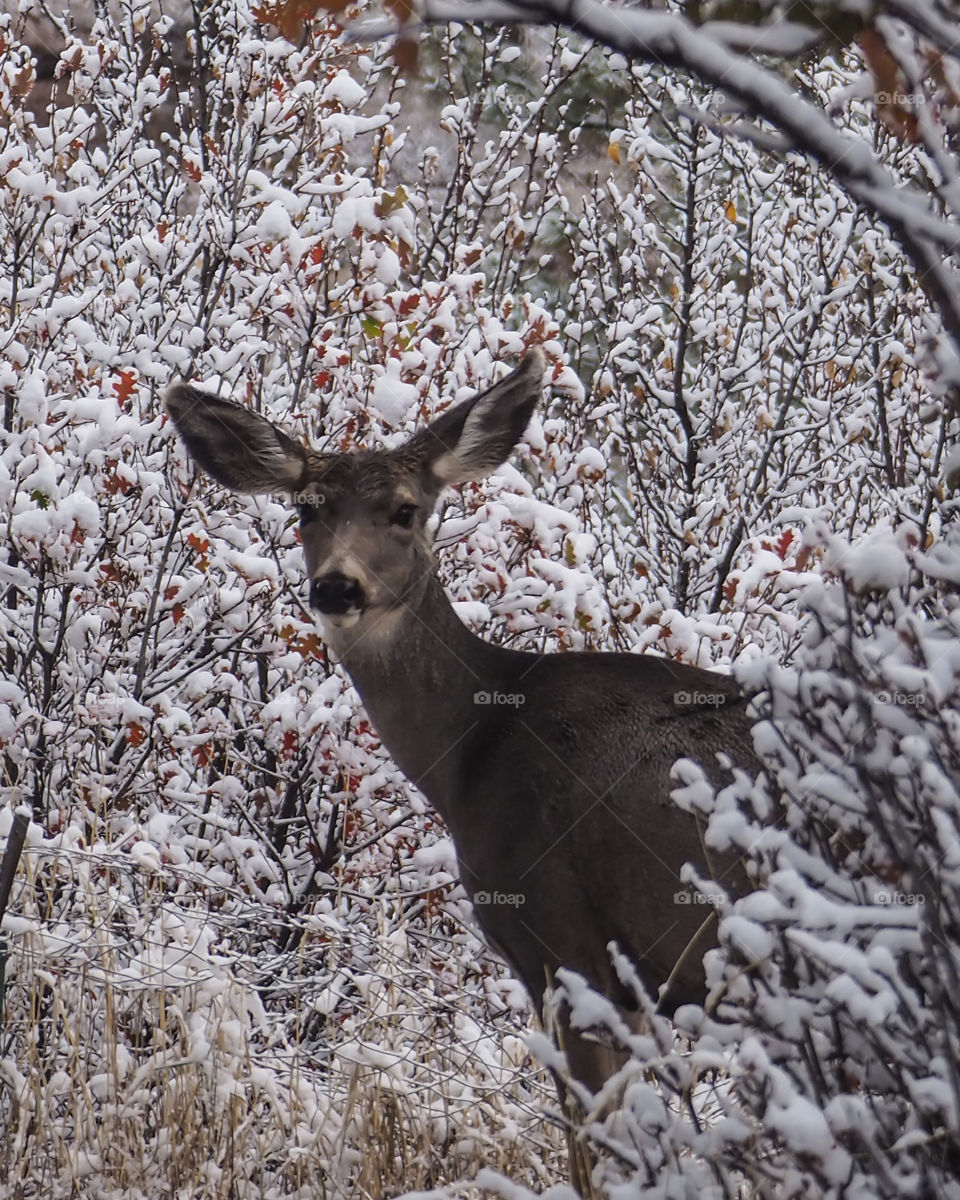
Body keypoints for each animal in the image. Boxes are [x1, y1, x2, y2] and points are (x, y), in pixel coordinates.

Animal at [163, 350, 748, 1190]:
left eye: (405, 510)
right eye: (306, 509)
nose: (336, 584)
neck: (477, 748)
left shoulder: (561, 939)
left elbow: (598, 1157)